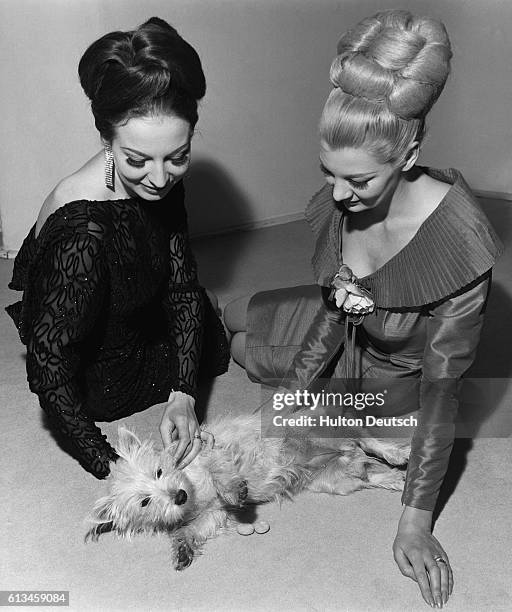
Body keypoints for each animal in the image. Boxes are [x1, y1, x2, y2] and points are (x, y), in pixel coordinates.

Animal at [86, 414, 410, 572]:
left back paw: (399, 454)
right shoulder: (212, 515)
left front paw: (235, 490)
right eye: (145, 501)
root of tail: (343, 452)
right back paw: (399, 479)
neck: (193, 486)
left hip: (320, 433)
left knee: (369, 439)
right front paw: (182, 550)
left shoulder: (213, 452)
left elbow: (221, 474)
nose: (178, 496)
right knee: (372, 471)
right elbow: (191, 530)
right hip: (338, 480)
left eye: (158, 471)